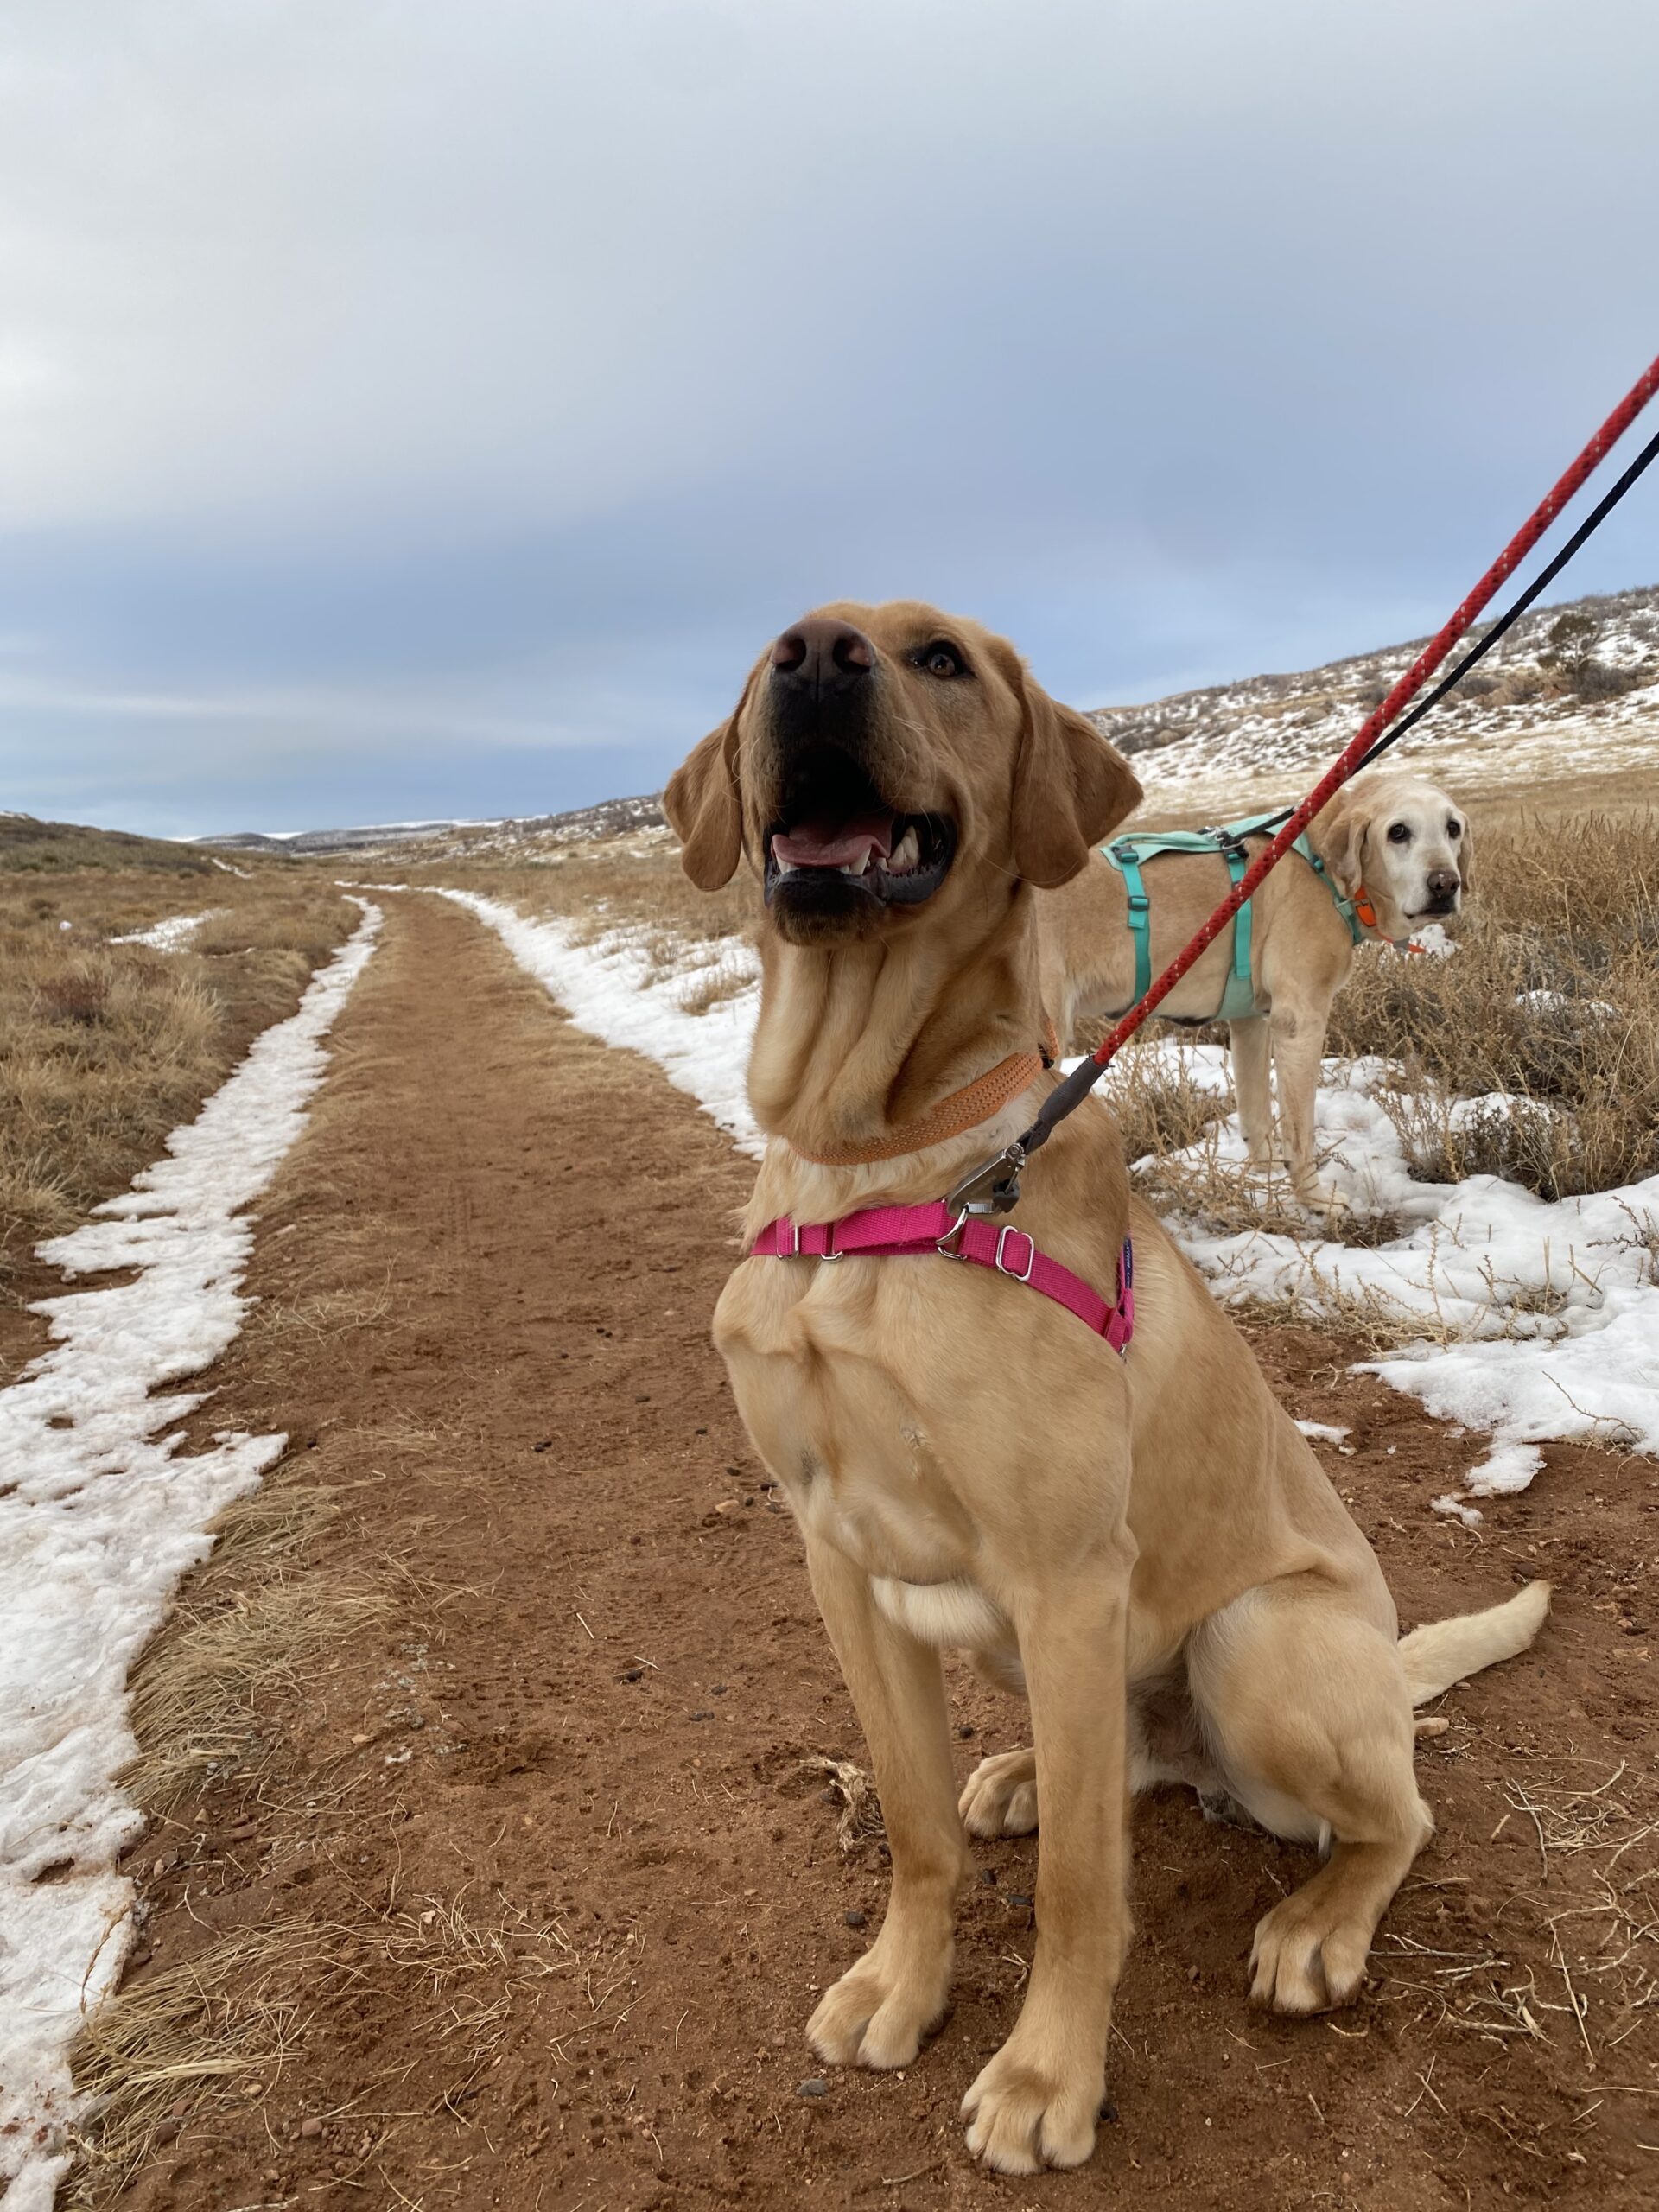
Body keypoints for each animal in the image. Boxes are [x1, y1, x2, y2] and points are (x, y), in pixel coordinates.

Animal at [1044, 769, 1478, 1203]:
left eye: (1453, 828)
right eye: (1397, 832)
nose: (1445, 884)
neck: (1322, 865)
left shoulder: (1249, 1022)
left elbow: (1256, 1116)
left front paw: (1265, 1182)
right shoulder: (1300, 1023)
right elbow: (1298, 1133)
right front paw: (1315, 1200)